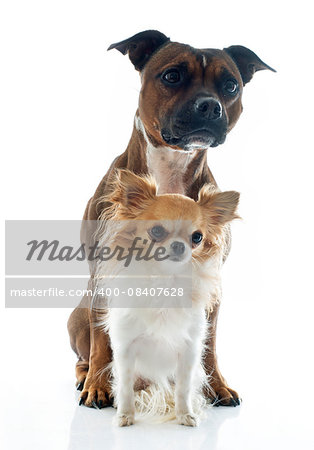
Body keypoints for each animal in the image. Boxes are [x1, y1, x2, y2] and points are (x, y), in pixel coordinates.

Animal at [68, 29, 274, 410]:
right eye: (172, 76)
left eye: (231, 86)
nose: (210, 105)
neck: (170, 167)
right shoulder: (103, 274)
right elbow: (103, 338)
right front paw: (100, 386)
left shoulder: (209, 283)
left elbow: (208, 344)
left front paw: (215, 386)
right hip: (76, 315)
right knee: (84, 353)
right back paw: (86, 377)